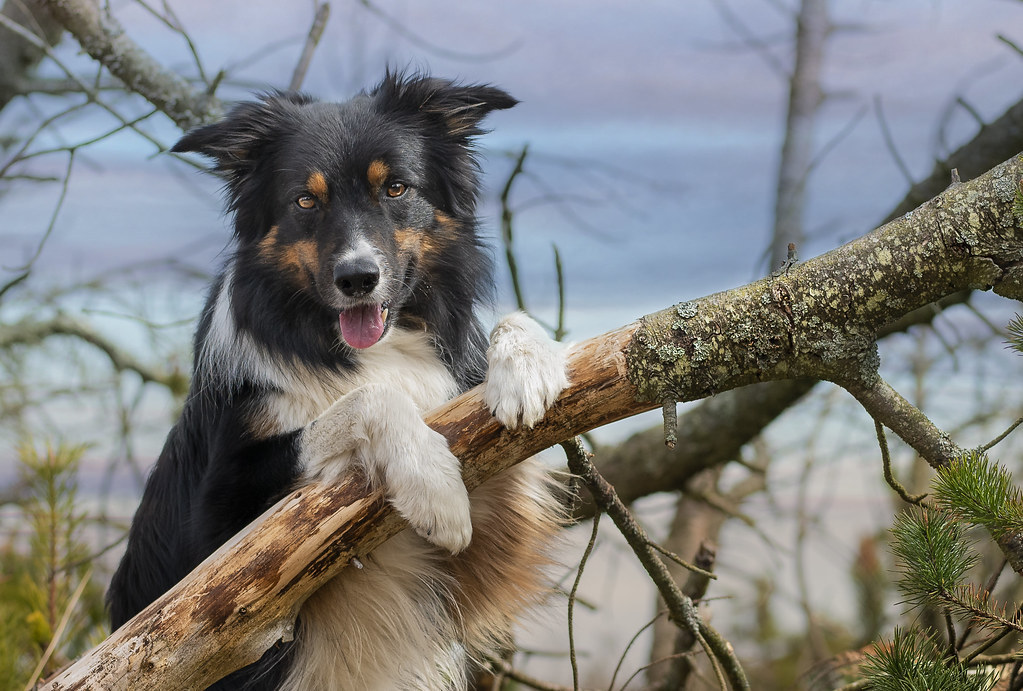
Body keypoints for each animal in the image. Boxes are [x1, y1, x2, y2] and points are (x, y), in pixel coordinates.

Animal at [107, 73, 572, 687]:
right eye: (306, 200)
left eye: (395, 188)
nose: (357, 278)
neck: (357, 350)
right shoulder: (214, 561)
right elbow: (369, 400)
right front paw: (434, 487)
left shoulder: (487, 545)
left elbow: (511, 325)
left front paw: (525, 372)